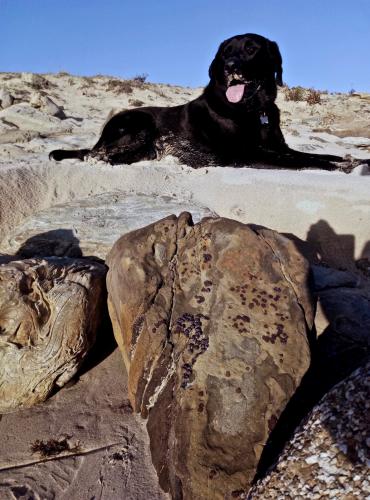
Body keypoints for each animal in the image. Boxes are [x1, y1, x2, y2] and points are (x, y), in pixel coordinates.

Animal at [48, 34, 368, 172]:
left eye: (252, 49)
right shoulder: (248, 153)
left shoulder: (280, 147)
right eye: (226, 51)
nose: (229, 66)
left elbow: (324, 154)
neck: (254, 110)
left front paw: (356, 160)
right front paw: (340, 167)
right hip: (140, 124)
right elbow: (306, 160)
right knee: (96, 156)